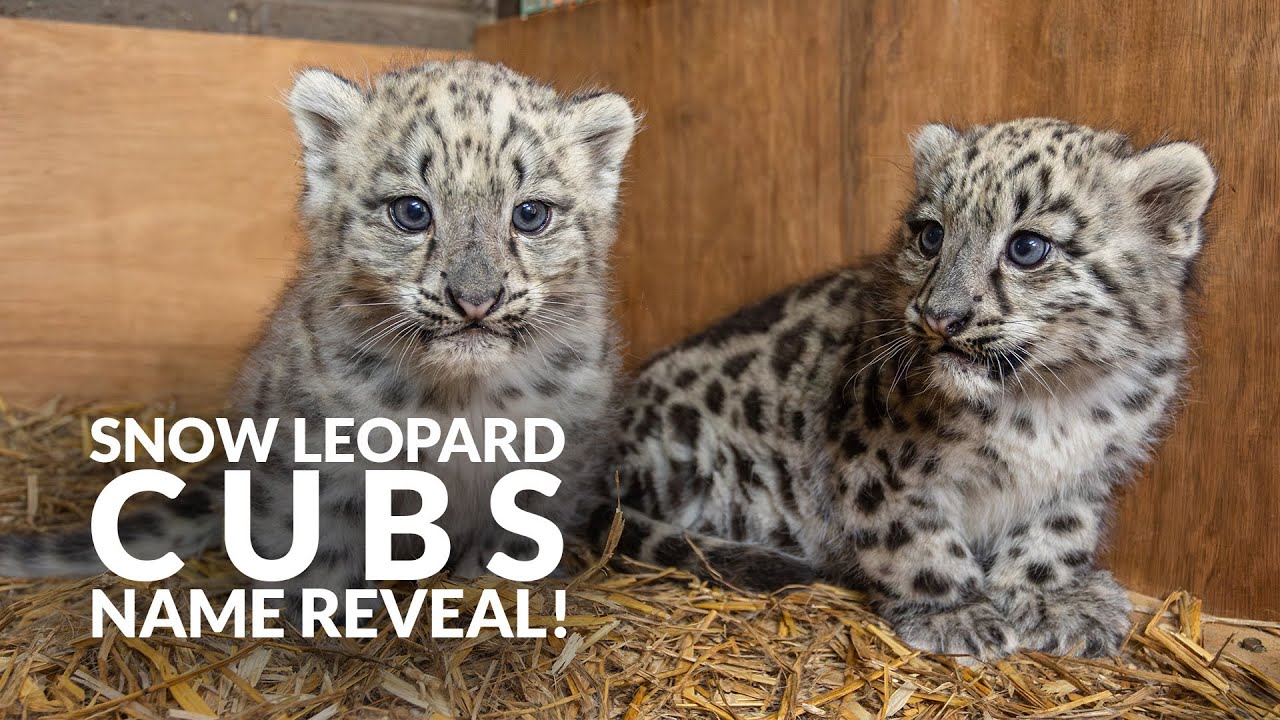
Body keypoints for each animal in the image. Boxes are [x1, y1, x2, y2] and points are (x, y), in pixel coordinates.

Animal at [0, 60, 638, 615]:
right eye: (411, 211)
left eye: (530, 215)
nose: (475, 298)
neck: (460, 400)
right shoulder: (317, 457)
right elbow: (321, 538)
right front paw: (322, 611)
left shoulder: (562, 457)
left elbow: (524, 531)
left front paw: (502, 582)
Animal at [599, 118, 1215, 660]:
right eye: (931, 235)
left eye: (1027, 247)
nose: (940, 316)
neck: (1049, 399)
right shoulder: (878, 464)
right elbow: (914, 541)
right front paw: (956, 614)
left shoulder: (1086, 474)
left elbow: (1058, 534)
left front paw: (1055, 601)